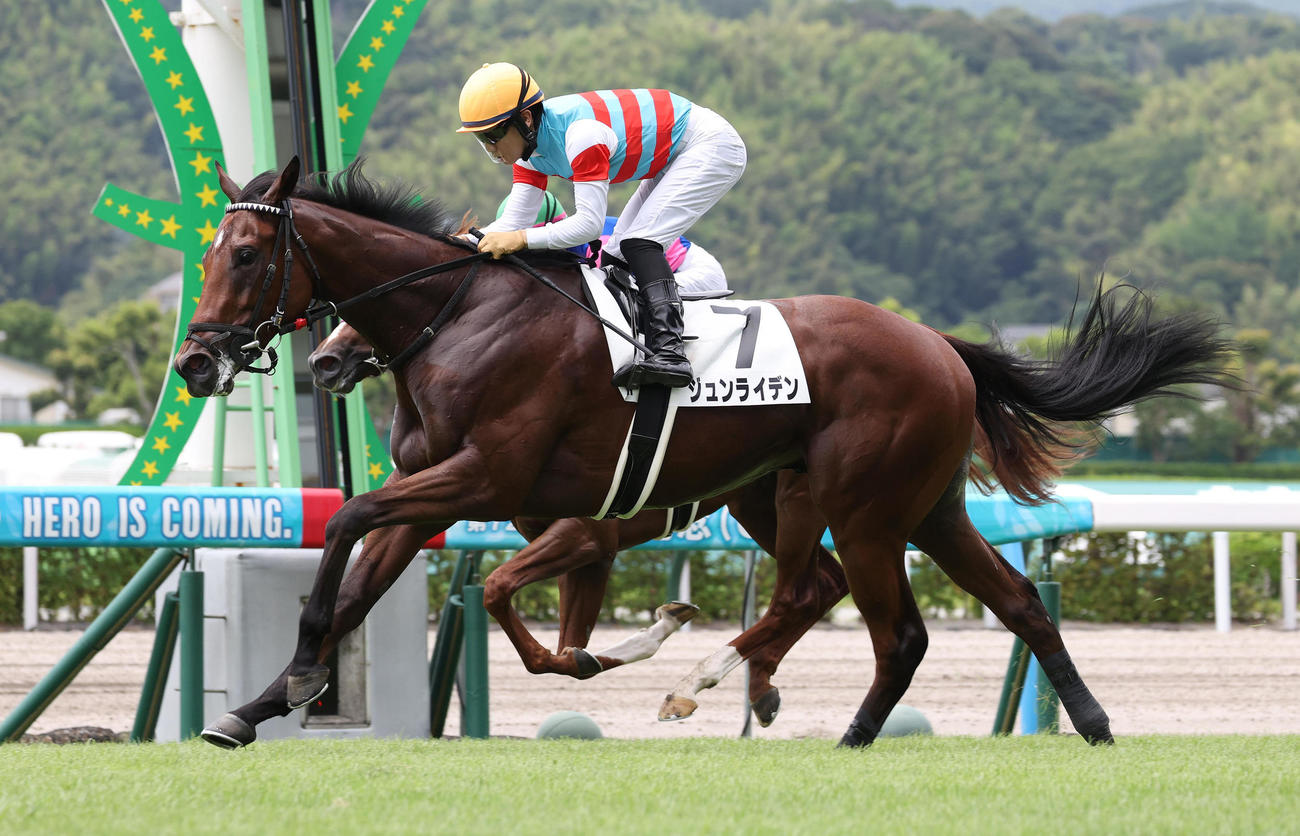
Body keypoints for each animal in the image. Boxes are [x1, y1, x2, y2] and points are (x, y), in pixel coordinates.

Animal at [305, 320, 847, 729]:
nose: (327, 358)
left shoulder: (586, 537)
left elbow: (514, 599)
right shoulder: (586, 554)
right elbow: (572, 643)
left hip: (793, 506)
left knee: (804, 591)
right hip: (758, 511)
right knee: (825, 584)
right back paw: (761, 687)